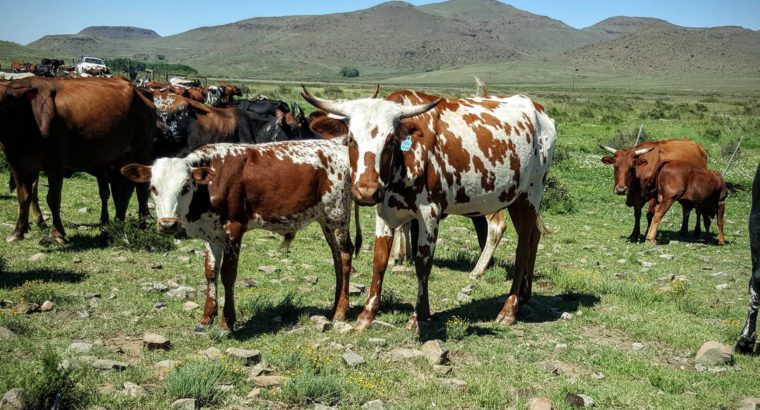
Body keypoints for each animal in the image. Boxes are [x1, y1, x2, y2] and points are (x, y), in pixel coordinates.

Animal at [0, 77, 154, 243]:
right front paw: (18, 232)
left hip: (141, 150)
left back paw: (142, 223)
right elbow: (23, 197)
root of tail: (139, 91)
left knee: (141, 187)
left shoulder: (55, 164)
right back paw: (119, 222)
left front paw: (58, 234)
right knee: (125, 188)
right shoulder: (17, 165)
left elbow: (53, 198)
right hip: (119, 158)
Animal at [121, 141, 356, 331]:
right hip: (326, 220)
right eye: (153, 188)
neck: (210, 184)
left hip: (337, 215)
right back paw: (335, 305)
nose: (167, 224)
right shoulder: (211, 234)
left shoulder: (234, 230)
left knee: (345, 255)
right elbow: (210, 272)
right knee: (336, 258)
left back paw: (340, 312)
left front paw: (227, 322)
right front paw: (206, 318)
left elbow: (228, 274)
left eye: (185, 187)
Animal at [303, 85, 557, 329]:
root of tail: (538, 109)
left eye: (390, 141)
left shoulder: (429, 212)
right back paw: (524, 293)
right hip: (515, 197)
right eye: (352, 140)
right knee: (533, 236)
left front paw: (419, 315)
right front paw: (367, 315)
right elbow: (379, 261)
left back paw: (509, 309)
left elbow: (423, 263)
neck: (404, 160)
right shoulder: (384, 212)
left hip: (531, 193)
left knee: (522, 246)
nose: (366, 191)